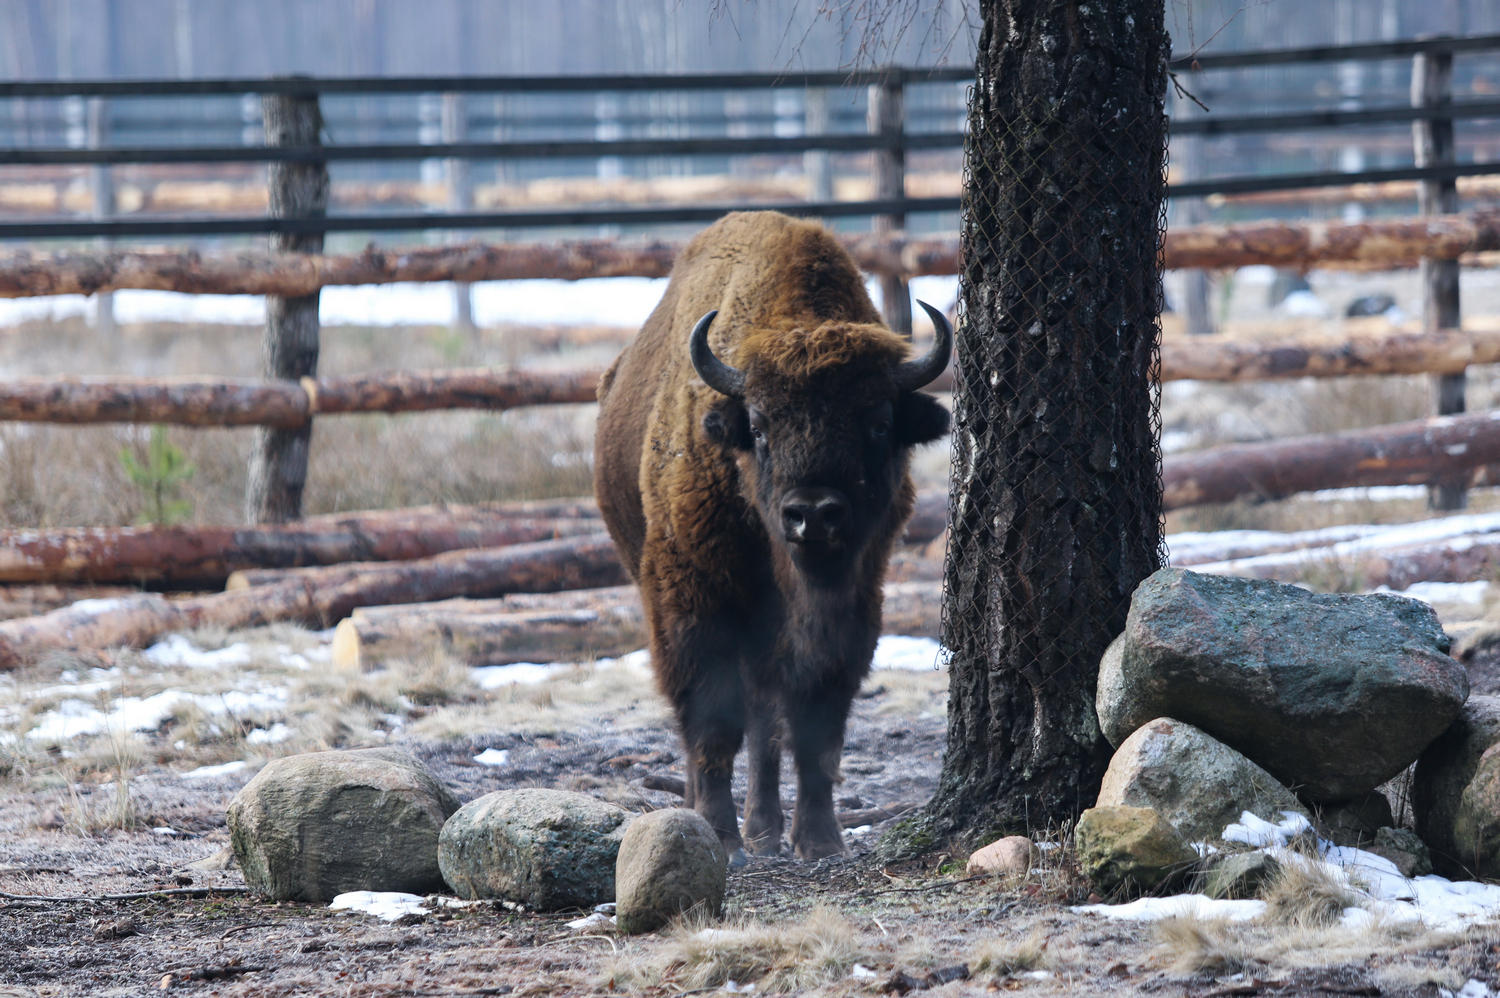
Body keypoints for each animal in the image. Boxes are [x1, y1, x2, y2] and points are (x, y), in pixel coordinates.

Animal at [593, 211, 950, 862]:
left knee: (765, 722)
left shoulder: (850, 606)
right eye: (758, 426)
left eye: (879, 423)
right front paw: (718, 836)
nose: (813, 515)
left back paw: (763, 829)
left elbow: (815, 724)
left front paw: (820, 840)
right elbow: (712, 719)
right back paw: (722, 821)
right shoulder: (692, 598)